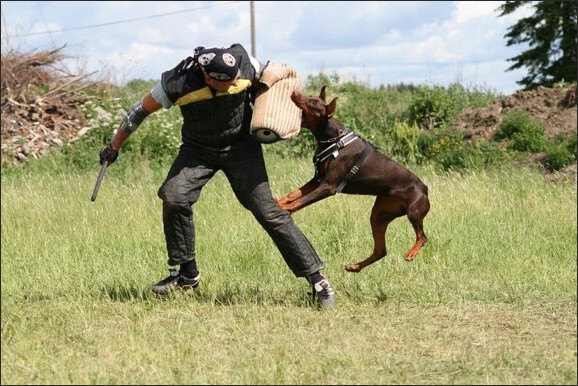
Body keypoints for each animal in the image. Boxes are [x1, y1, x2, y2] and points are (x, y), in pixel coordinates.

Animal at [274, 86, 428, 272]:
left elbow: (299, 201)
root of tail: (425, 188)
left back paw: (411, 253)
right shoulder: (317, 180)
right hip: (379, 215)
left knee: (422, 237)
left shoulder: (328, 186)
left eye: (313, 103)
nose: (294, 92)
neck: (333, 139)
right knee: (381, 250)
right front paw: (278, 202)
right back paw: (355, 266)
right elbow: (293, 195)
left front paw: (284, 208)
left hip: (414, 211)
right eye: (309, 96)